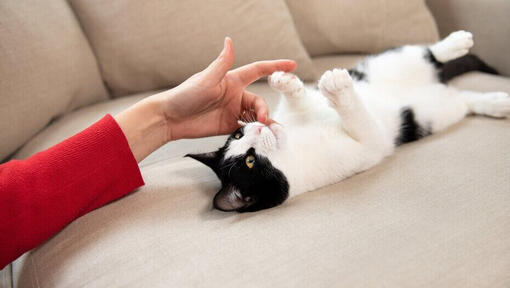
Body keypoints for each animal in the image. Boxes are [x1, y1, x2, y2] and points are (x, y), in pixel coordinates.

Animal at [187, 30, 510, 213]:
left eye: (237, 135)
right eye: (250, 161)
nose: (255, 127)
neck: (296, 144)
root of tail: (435, 83)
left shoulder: (300, 113)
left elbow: (302, 101)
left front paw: (285, 81)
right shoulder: (367, 146)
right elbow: (360, 120)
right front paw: (338, 88)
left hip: (388, 64)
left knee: (426, 54)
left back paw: (457, 42)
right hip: (432, 112)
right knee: (463, 99)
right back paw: (498, 102)